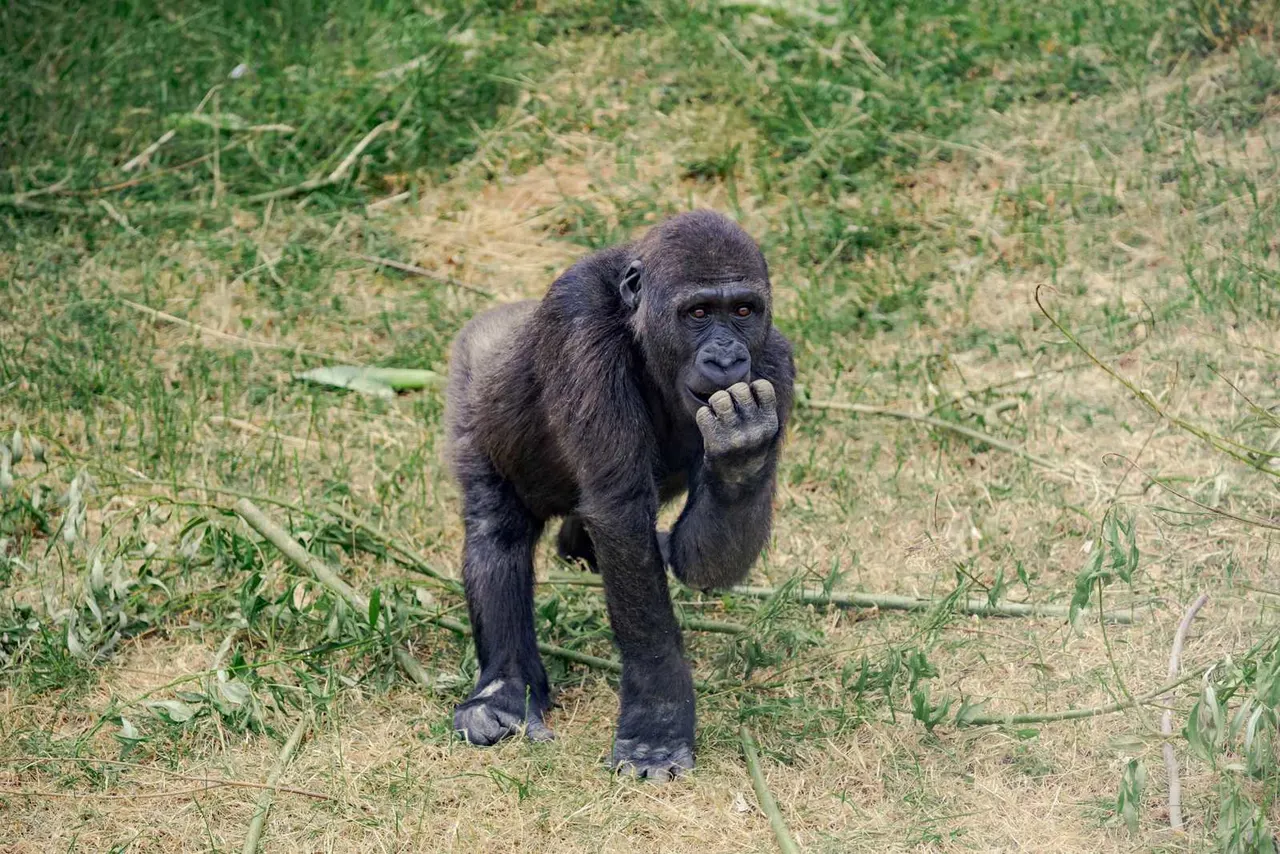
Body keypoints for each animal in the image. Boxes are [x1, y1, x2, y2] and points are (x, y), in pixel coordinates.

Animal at [444, 210, 794, 779]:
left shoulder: (777, 365)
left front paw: (742, 457)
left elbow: (698, 563)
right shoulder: (577, 322)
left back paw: (579, 546)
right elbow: (620, 515)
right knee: (495, 532)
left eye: (744, 310)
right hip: (473, 372)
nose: (726, 358)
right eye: (699, 312)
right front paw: (658, 720)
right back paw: (504, 691)